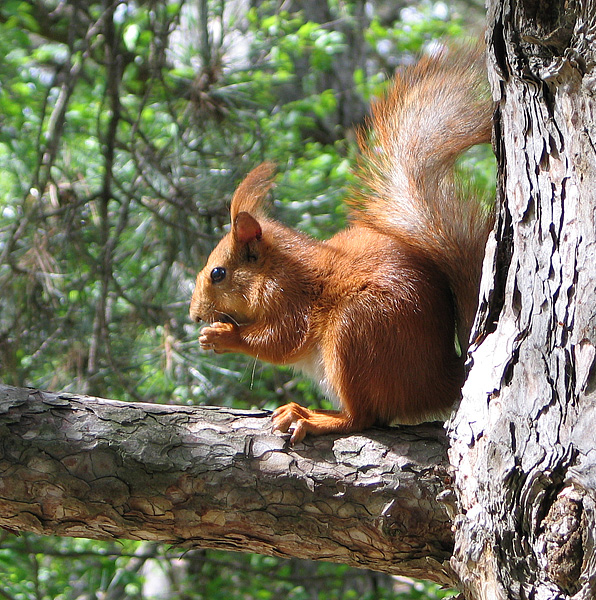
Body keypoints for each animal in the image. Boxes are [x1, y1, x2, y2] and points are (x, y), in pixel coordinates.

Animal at [190, 47, 494, 442]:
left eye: (218, 273)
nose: (195, 315)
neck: (276, 267)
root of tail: (436, 382)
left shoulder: (291, 298)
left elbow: (281, 340)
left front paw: (224, 335)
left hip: (354, 333)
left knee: (362, 417)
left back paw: (313, 417)